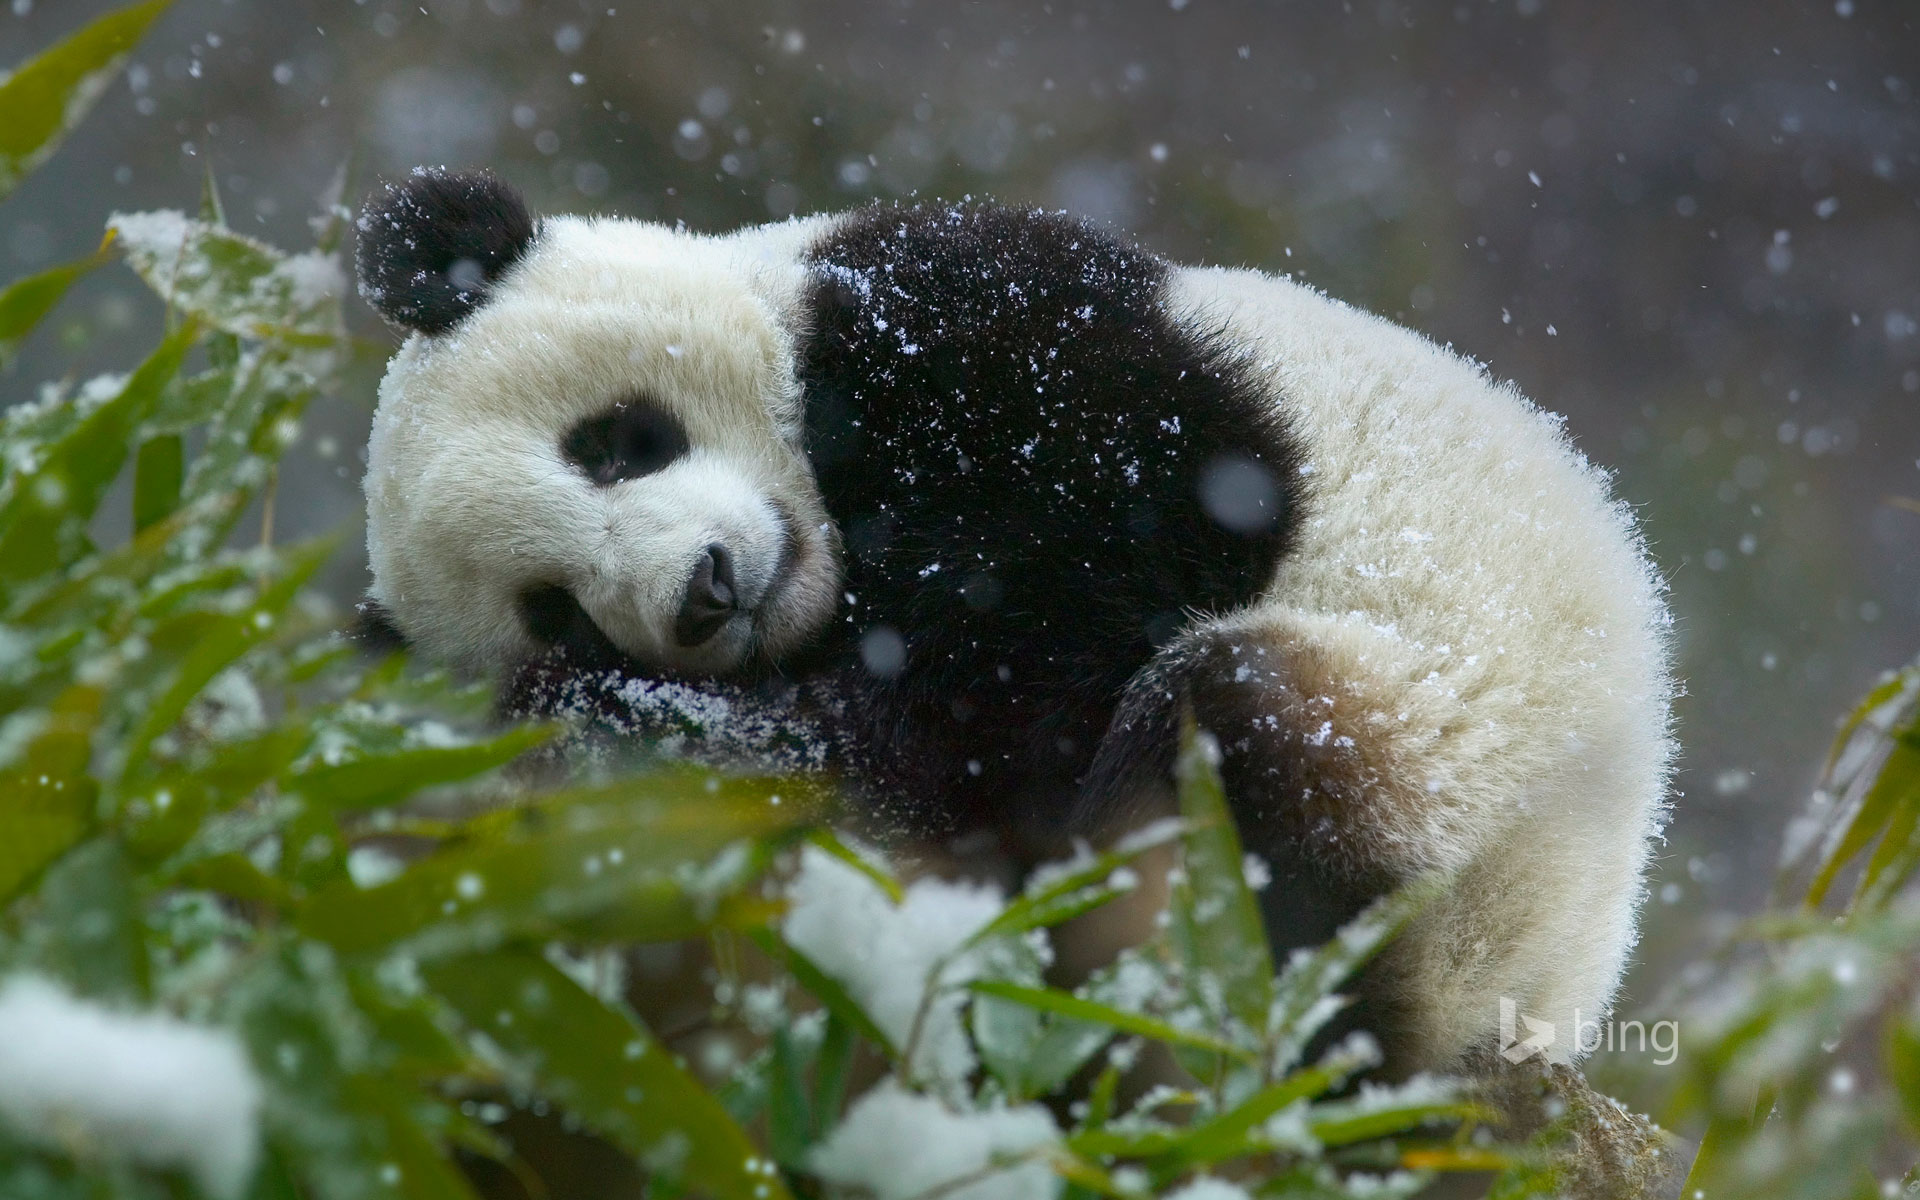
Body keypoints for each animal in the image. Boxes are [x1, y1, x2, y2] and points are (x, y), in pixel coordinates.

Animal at [353, 167, 1674, 1077]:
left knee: (1242, 744)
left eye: (618, 442)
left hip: (1453, 749)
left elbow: (1098, 565)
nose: (705, 592)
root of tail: (1534, 989)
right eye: (557, 608)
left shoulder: (979, 324)